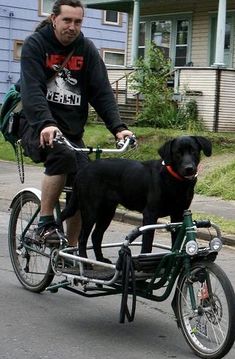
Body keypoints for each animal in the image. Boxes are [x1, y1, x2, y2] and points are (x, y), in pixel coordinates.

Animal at [61, 136, 212, 262]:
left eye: (193, 151)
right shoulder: (150, 214)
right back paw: (85, 262)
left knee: (96, 236)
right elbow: (147, 244)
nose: (189, 168)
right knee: (82, 238)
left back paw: (100, 259)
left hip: (107, 212)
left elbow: (176, 242)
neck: (174, 181)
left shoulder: (178, 215)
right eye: (178, 153)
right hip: (90, 210)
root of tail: (83, 170)